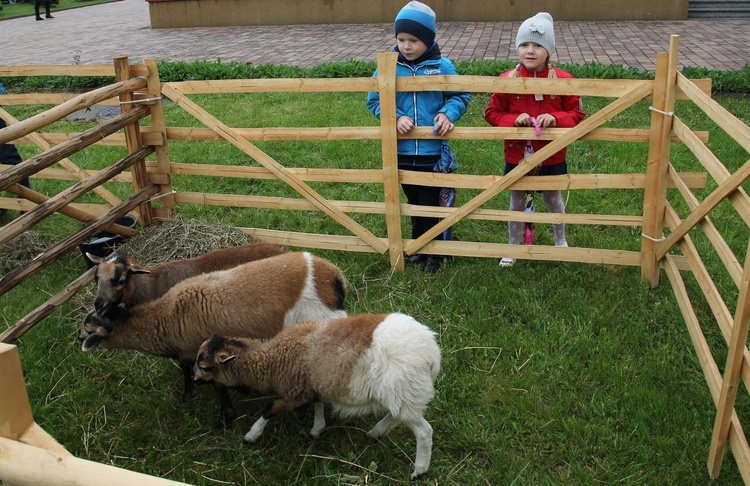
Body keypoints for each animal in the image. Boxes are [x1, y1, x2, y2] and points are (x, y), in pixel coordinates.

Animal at [79, 251, 350, 426]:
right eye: (95, 278)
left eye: (119, 279)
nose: (78, 335)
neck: (166, 317)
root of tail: (335, 276)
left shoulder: (205, 355)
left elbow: (215, 386)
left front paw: (225, 418)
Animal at [194, 314, 444, 480]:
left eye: (205, 366)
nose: (194, 380)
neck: (272, 359)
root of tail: (432, 355)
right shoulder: (309, 385)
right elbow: (318, 404)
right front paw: (317, 428)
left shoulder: (294, 392)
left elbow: (270, 408)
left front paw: (251, 435)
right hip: (401, 395)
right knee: (395, 416)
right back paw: (375, 433)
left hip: (404, 391)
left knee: (424, 432)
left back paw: (419, 470)